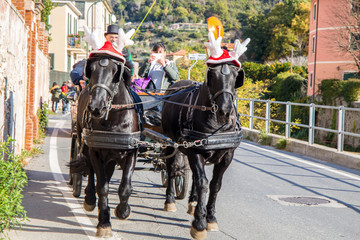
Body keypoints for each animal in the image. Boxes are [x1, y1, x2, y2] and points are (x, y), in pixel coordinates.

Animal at [69, 54, 140, 236]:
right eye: (91, 70)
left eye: (115, 72)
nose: (96, 107)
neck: (114, 120)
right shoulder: (95, 151)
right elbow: (102, 187)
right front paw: (104, 223)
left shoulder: (131, 151)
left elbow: (125, 186)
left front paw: (123, 211)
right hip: (85, 145)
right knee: (92, 172)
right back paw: (89, 199)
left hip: (111, 157)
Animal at [161, 62, 243, 240]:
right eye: (212, 75)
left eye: (235, 76)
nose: (225, 110)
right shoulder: (194, 152)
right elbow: (203, 183)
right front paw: (199, 224)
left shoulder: (227, 156)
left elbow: (215, 185)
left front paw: (210, 218)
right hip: (170, 141)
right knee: (171, 168)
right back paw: (170, 201)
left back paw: (192, 202)